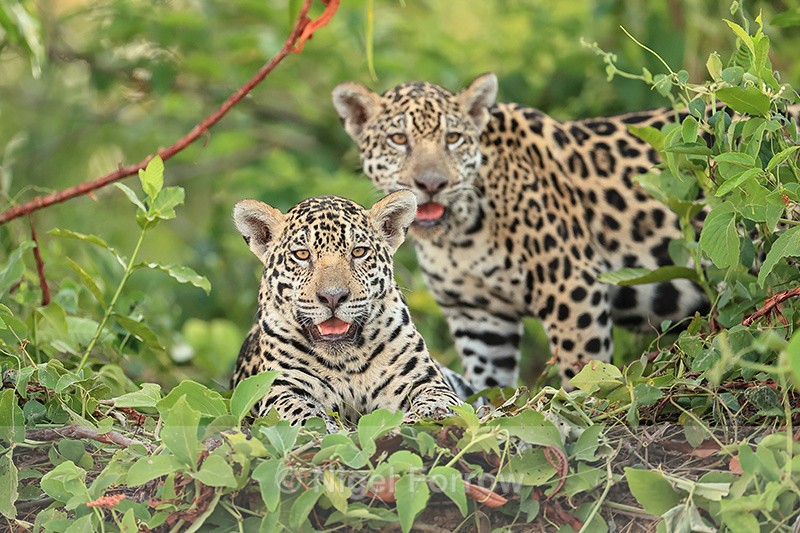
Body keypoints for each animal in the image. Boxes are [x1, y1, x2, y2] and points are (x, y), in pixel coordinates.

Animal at [231, 190, 462, 432]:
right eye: (302, 254)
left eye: (358, 252)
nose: (333, 297)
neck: (346, 363)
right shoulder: (280, 388)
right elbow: (298, 412)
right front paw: (327, 427)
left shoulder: (422, 378)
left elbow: (439, 397)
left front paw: (433, 411)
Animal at [332, 72, 714, 390]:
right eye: (398, 139)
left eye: (453, 139)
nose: (431, 184)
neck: (457, 239)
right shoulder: (478, 317)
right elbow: (490, 384)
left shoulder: (571, 285)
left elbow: (582, 364)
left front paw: (580, 406)